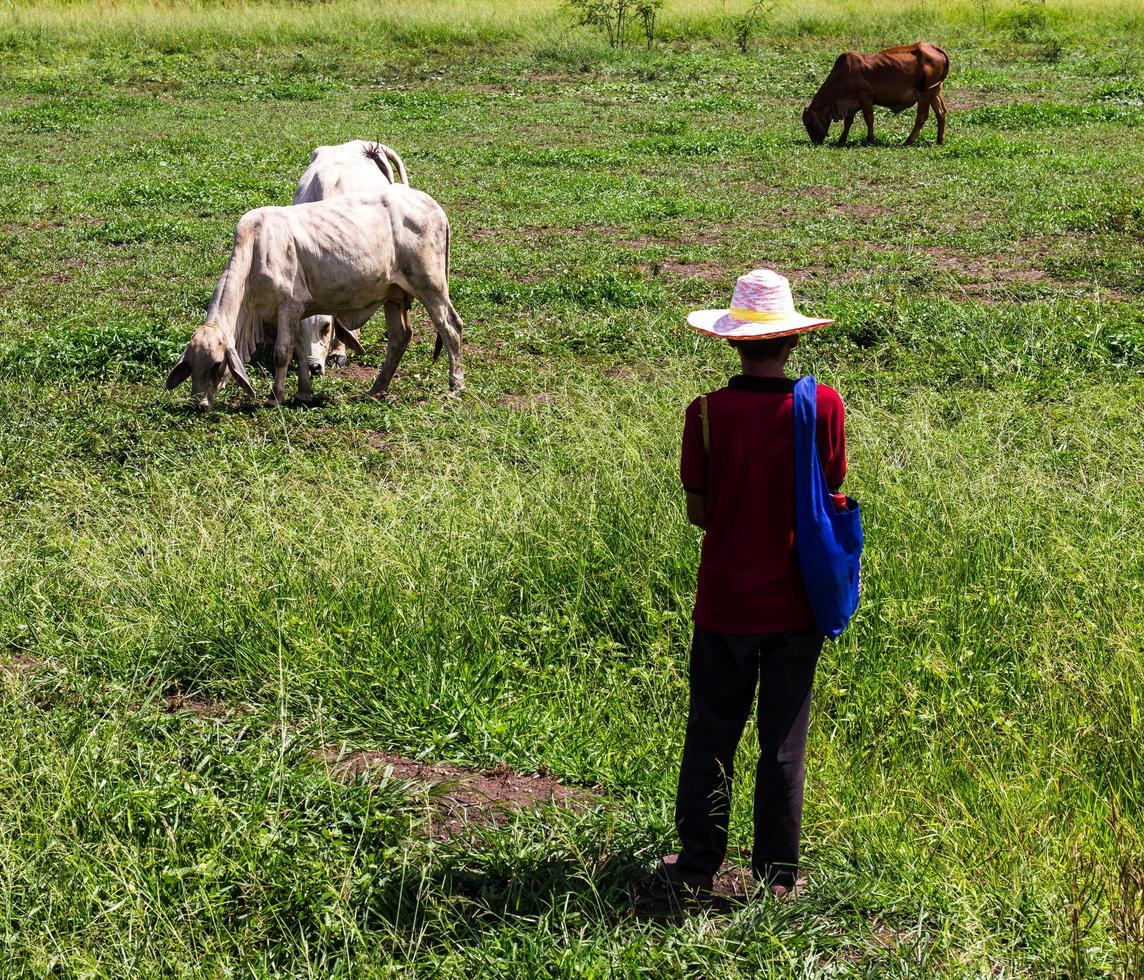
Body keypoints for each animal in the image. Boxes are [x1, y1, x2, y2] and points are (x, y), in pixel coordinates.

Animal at [162, 184, 464, 409]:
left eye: (216, 364)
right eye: (190, 366)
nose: (198, 403)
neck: (256, 253)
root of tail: (433, 206)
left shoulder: (290, 304)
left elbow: (281, 354)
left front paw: (275, 398)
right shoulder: (293, 313)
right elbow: (298, 351)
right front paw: (302, 393)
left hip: (431, 284)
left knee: (451, 327)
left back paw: (455, 386)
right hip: (394, 295)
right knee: (400, 337)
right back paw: (376, 389)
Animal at [800, 42, 951, 147]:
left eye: (809, 122)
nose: (815, 142)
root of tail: (934, 47)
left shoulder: (865, 97)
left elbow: (869, 119)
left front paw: (870, 140)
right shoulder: (851, 103)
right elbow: (848, 122)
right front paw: (841, 140)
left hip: (924, 94)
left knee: (921, 117)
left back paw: (908, 141)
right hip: (934, 93)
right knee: (941, 113)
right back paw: (939, 140)